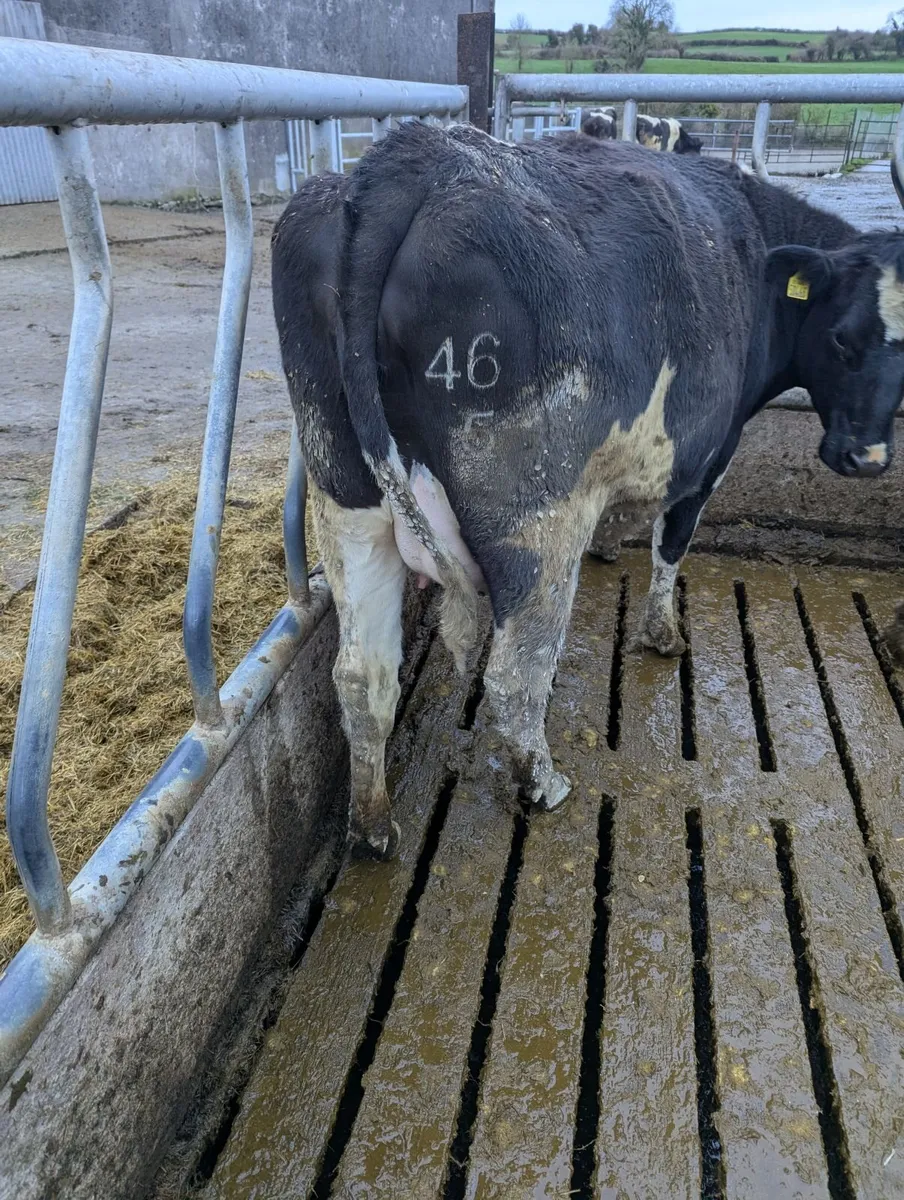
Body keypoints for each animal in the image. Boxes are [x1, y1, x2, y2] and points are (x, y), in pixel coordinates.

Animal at [271, 122, 904, 858]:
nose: (867, 458)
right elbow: (670, 545)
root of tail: (413, 157)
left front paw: (612, 546)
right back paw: (543, 783)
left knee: (362, 674)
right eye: (843, 339)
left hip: (347, 498)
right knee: (515, 674)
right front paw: (663, 631)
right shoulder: (709, 456)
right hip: (538, 518)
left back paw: (373, 826)